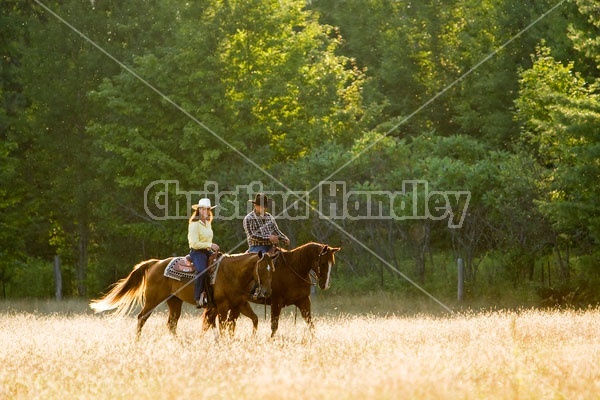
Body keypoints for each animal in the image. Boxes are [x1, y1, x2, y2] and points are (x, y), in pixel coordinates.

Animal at [89, 250, 274, 338]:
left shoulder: (240, 304)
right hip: (152, 300)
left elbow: (253, 320)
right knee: (142, 318)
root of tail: (155, 263)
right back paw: (137, 341)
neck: (232, 273)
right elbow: (223, 326)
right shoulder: (223, 306)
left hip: (174, 301)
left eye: (272, 269)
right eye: (261, 269)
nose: (267, 292)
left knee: (171, 323)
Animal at [203, 242, 340, 336]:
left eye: (332, 263)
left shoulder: (304, 301)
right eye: (323, 263)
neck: (294, 270)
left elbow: (311, 324)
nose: (325, 285)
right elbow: (274, 326)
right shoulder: (276, 302)